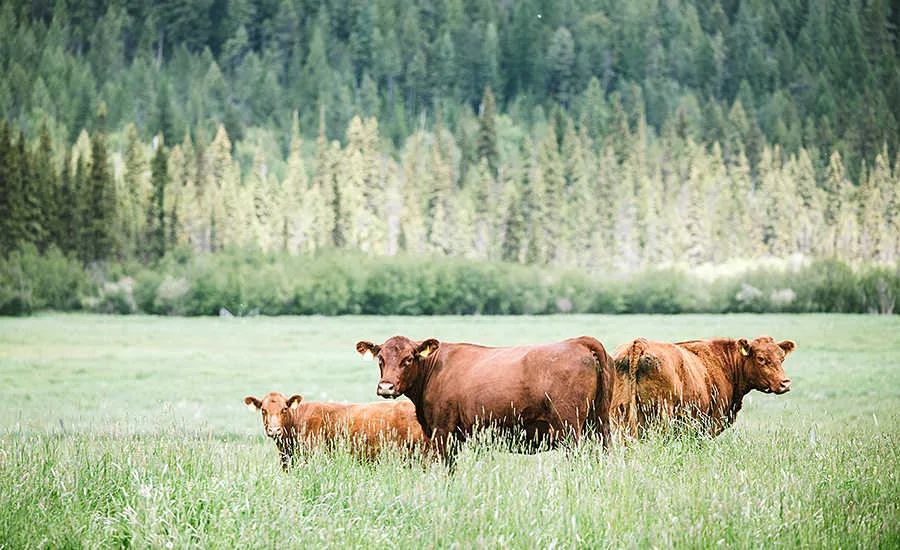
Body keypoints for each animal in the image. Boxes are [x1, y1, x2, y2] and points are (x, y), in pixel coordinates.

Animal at [355, 335, 614, 468]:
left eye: (408, 359)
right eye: (380, 358)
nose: (386, 386)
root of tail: (578, 342)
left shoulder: (443, 431)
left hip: (570, 425)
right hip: (600, 422)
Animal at [610, 336, 795, 438]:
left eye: (782, 358)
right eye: (761, 358)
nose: (785, 383)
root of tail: (639, 343)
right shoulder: (711, 423)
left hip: (620, 414)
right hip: (660, 415)